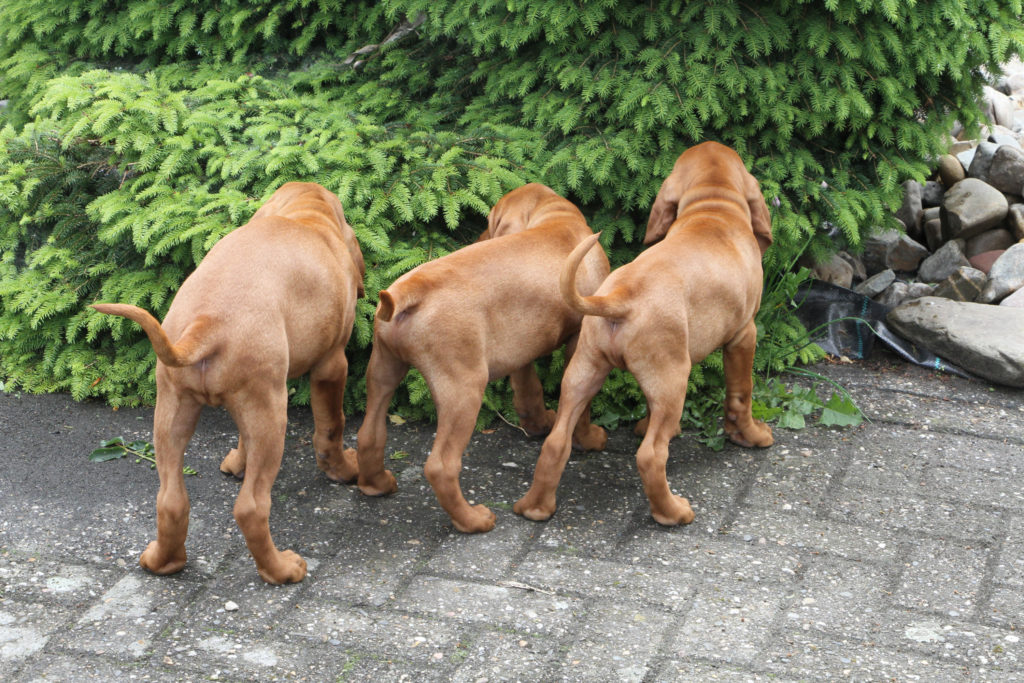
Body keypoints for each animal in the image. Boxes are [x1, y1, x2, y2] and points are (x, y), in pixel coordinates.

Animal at [90, 180, 366, 581]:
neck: (305, 216)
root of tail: (208, 321)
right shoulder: (332, 365)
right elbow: (332, 426)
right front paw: (344, 470)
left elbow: (243, 438)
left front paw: (236, 464)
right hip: (272, 411)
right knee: (251, 507)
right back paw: (281, 570)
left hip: (175, 407)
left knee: (170, 501)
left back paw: (162, 561)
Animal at [354, 183, 606, 532]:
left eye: (489, 222)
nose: (476, 238)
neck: (557, 220)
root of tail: (409, 291)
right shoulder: (580, 340)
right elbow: (580, 408)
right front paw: (588, 438)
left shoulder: (521, 346)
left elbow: (528, 389)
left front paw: (538, 423)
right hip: (465, 390)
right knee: (441, 466)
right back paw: (472, 520)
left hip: (382, 367)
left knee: (369, 434)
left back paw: (376, 484)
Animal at [516, 143, 770, 528]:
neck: (713, 208)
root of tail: (618, 297)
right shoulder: (744, 334)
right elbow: (741, 394)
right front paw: (750, 436)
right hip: (673, 379)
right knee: (650, 456)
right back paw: (672, 513)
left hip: (586, 371)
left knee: (556, 442)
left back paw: (535, 507)